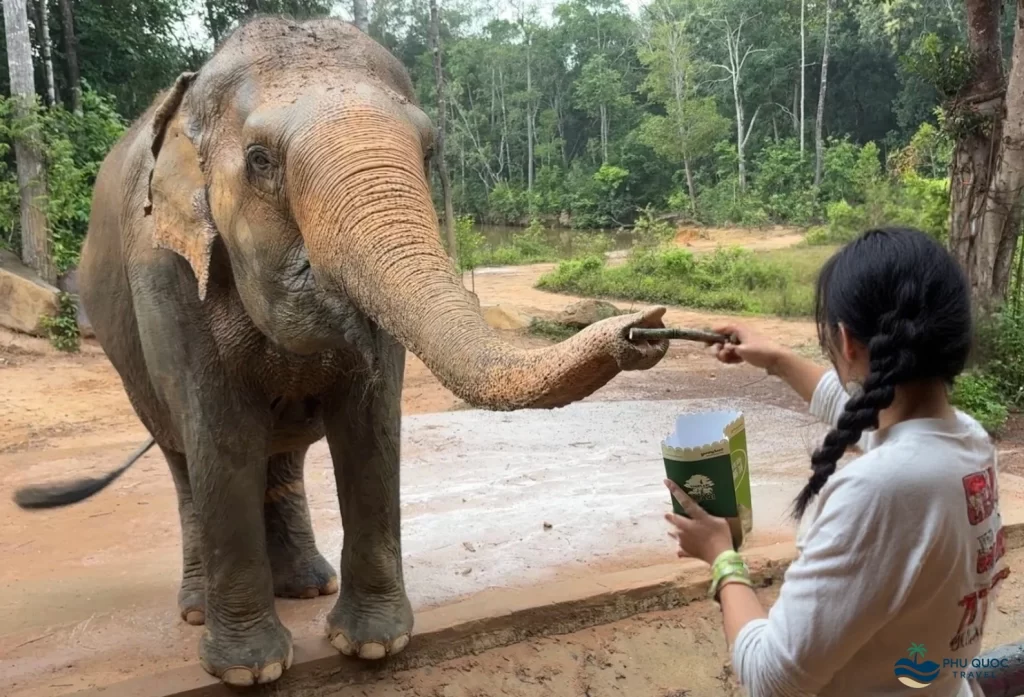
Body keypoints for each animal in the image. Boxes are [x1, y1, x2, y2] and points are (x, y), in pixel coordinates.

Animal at [13, 16, 669, 687]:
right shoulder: (166, 273)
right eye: (260, 161)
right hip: (129, 359)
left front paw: (373, 647)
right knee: (183, 457)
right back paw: (198, 610)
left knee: (281, 455)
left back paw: (307, 586)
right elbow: (221, 437)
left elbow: (369, 424)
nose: (644, 328)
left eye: (428, 155)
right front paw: (251, 673)